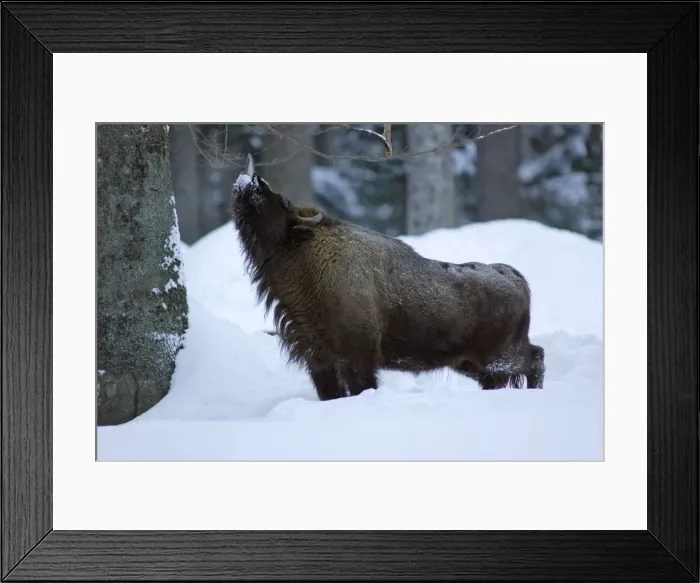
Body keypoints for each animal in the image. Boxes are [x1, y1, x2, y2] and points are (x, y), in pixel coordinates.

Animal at [230, 154, 545, 401]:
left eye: (283, 201)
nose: (253, 180)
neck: (305, 251)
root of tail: (516, 277)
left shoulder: (358, 358)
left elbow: (361, 386)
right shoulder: (319, 360)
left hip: (499, 359)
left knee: (536, 358)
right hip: (472, 364)